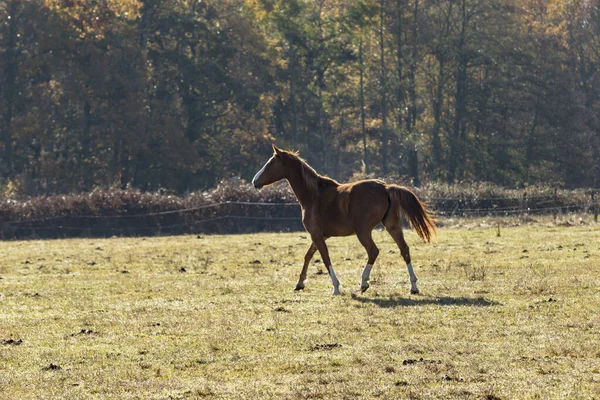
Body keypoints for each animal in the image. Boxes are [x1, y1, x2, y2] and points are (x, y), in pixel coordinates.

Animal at [250, 145, 436, 296]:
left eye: (270, 163)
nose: (254, 181)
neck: (313, 195)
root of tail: (385, 187)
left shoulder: (316, 235)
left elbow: (325, 258)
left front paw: (336, 287)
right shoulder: (320, 235)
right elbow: (308, 255)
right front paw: (299, 283)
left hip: (363, 231)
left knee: (373, 251)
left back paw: (363, 283)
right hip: (392, 226)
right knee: (404, 250)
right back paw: (413, 286)